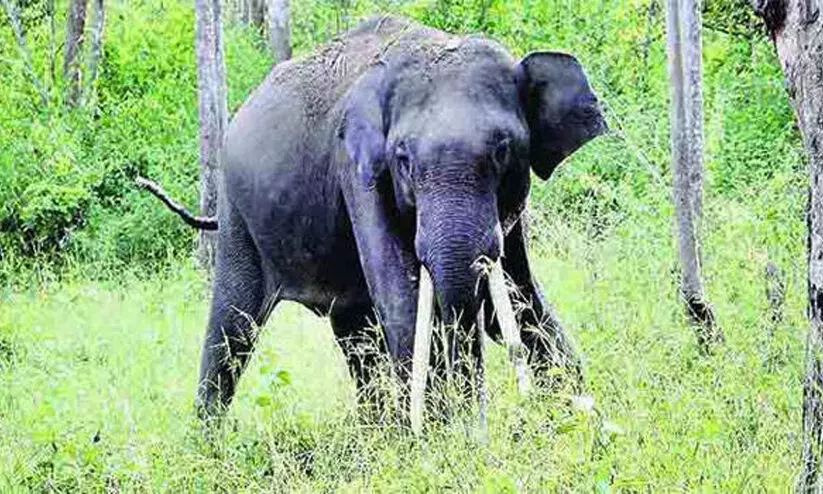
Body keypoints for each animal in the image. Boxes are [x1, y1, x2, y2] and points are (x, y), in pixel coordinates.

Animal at [140, 15, 607, 420]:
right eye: (403, 159)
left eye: (502, 150)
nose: (478, 428)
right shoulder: (357, 169)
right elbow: (404, 299)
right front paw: (440, 437)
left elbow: (514, 296)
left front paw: (580, 414)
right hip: (239, 217)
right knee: (232, 327)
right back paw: (209, 443)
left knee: (355, 331)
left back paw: (377, 430)